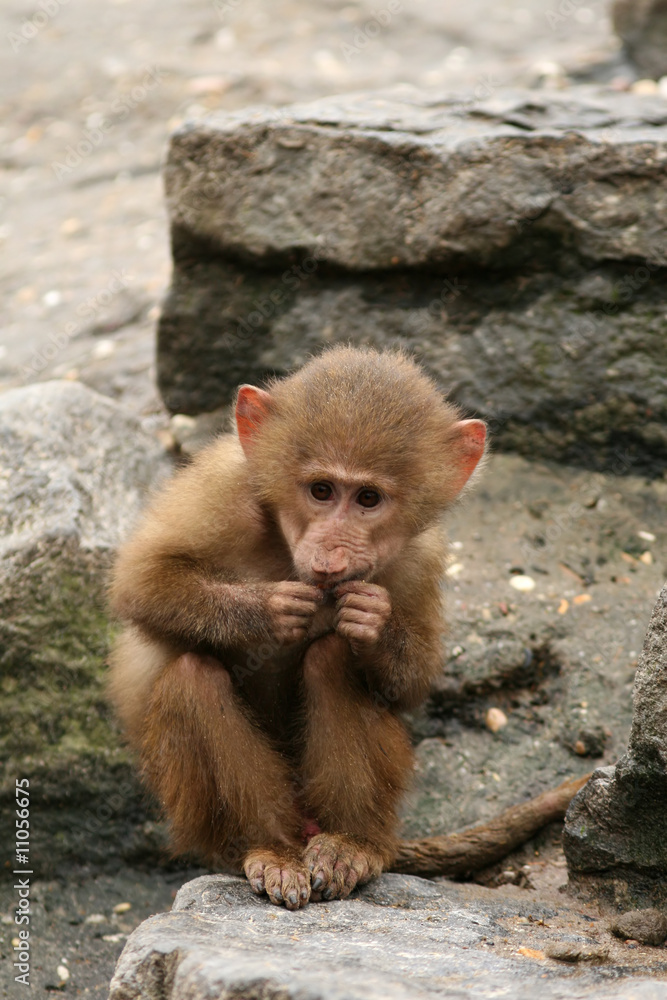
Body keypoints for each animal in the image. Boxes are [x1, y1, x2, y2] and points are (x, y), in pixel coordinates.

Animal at [108, 345, 488, 910]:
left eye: (368, 499)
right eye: (321, 490)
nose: (332, 555)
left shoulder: (420, 555)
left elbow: (409, 686)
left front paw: (373, 624)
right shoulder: (220, 487)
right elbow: (140, 583)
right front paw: (268, 610)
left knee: (332, 657)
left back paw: (348, 844)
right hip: (196, 819)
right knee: (193, 679)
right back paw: (272, 849)